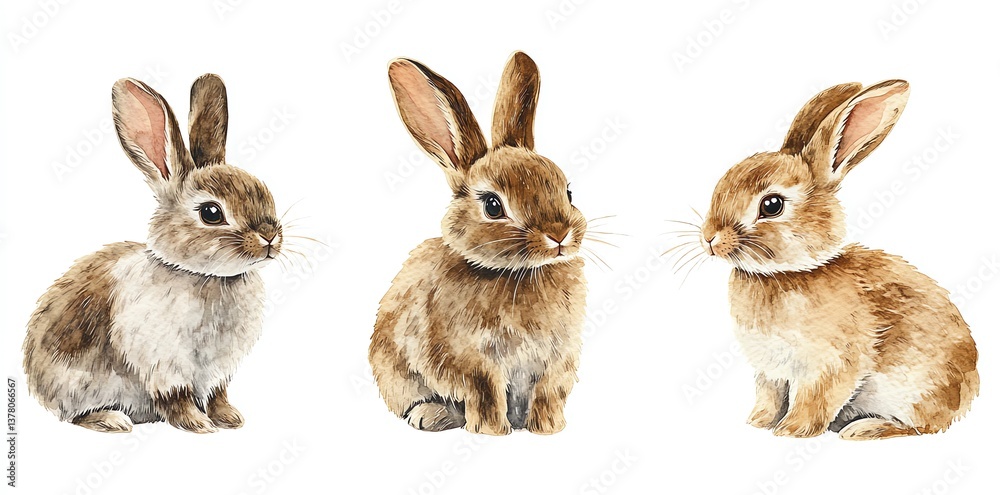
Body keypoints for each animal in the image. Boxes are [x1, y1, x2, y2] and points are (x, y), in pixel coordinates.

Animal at [23, 74, 283, 433]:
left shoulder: (217, 370)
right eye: (211, 213)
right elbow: (176, 397)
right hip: (76, 386)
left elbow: (217, 394)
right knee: (74, 416)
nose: (270, 237)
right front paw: (198, 425)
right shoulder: (164, 363)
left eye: (265, 192)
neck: (207, 277)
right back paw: (112, 420)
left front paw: (230, 418)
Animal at [369, 52, 588, 435]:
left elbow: (549, 393)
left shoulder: (557, 359)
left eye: (568, 192)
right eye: (493, 206)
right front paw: (491, 431)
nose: (559, 234)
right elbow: (484, 390)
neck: (520, 273)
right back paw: (430, 415)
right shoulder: (466, 360)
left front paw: (549, 429)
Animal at [698, 80, 979, 440]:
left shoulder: (830, 365)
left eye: (772, 205)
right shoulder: (770, 373)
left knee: (922, 428)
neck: (783, 274)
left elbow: (813, 401)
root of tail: (967, 395)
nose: (709, 238)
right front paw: (757, 423)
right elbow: (769, 399)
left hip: (917, 390)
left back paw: (864, 429)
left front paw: (791, 431)